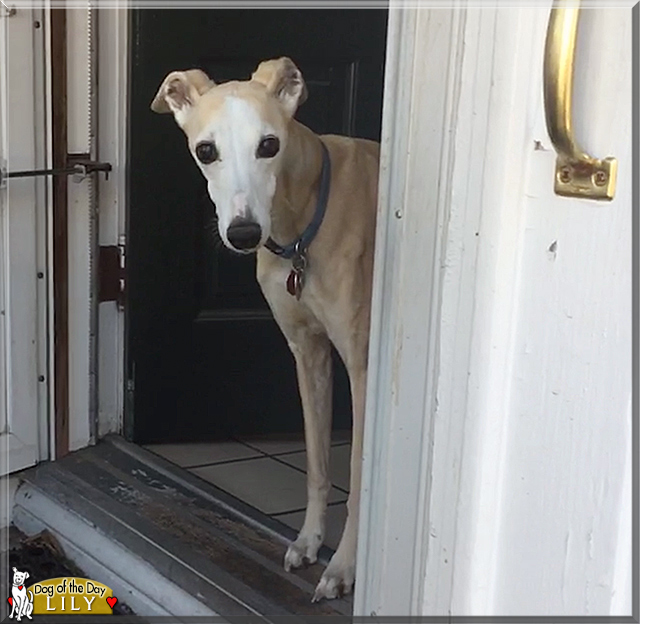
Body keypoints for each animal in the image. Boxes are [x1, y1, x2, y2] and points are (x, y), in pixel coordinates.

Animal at [151, 56, 378, 600]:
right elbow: (317, 464)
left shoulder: (363, 365)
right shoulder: (308, 351)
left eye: (269, 144)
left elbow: (359, 474)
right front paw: (309, 541)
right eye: (205, 150)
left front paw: (343, 566)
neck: (303, 224)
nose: (244, 234)